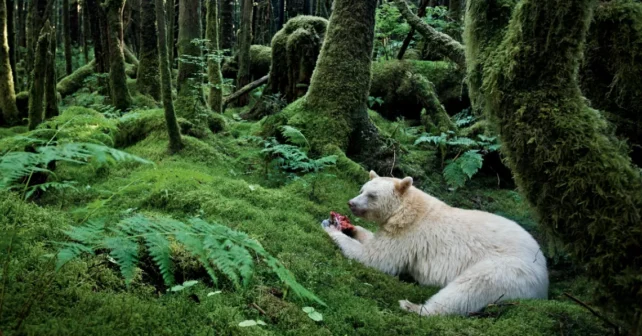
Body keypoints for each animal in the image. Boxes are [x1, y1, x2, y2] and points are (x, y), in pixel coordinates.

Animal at [322, 172, 548, 316]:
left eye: (371, 195)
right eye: (362, 189)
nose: (351, 203)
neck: (407, 209)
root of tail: (544, 279)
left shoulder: (409, 235)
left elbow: (378, 259)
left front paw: (331, 228)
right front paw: (349, 227)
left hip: (509, 270)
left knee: (470, 287)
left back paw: (413, 307)